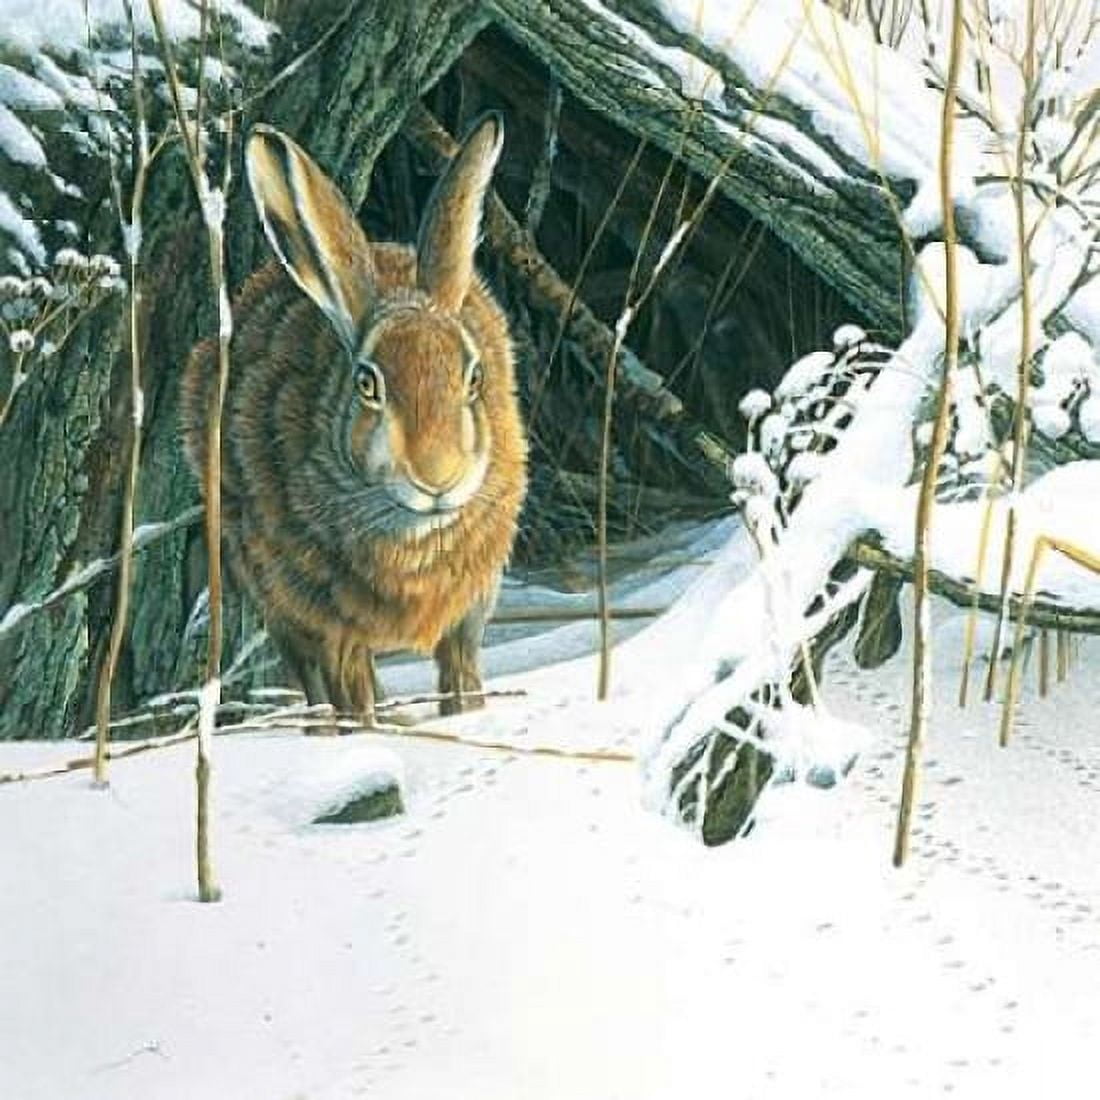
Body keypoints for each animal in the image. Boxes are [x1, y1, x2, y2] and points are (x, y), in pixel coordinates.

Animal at [180, 113, 527, 723]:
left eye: (474, 378)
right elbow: (350, 692)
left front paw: (466, 718)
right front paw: (371, 733)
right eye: (367, 383)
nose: (438, 478)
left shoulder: (469, 613)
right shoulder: (328, 624)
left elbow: (461, 677)